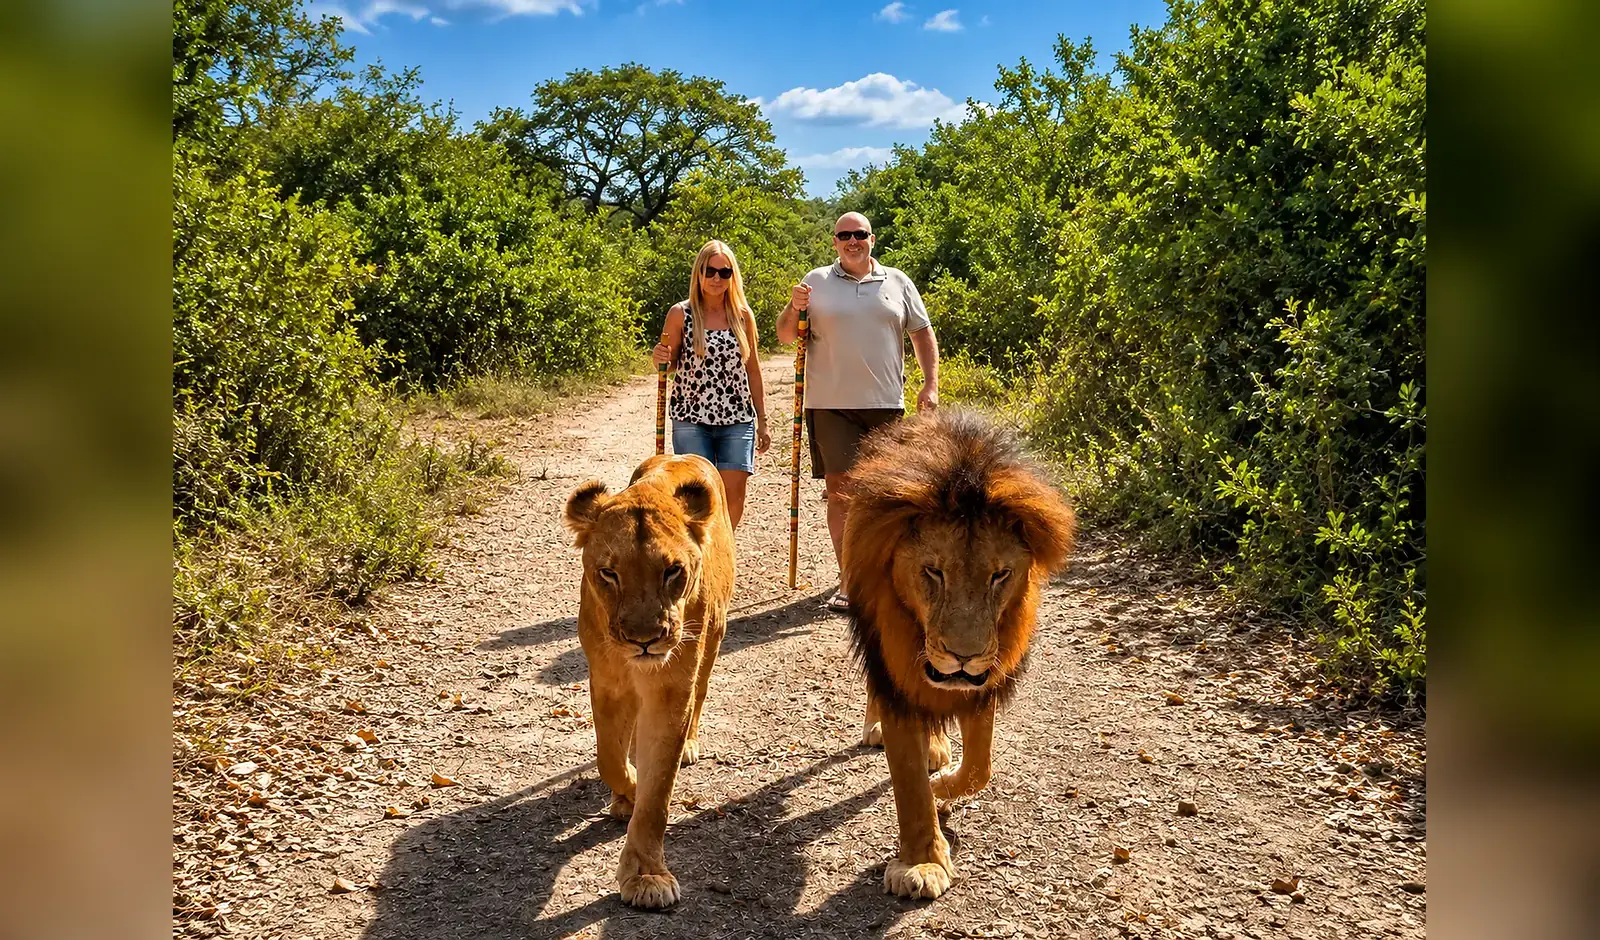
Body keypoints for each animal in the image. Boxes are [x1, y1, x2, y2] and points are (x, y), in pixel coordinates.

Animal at [563, 453, 735, 909]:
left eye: (672, 571)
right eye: (608, 573)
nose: (644, 640)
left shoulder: (670, 687)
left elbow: (658, 791)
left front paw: (646, 875)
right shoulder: (607, 680)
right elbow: (608, 755)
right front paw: (628, 788)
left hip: (713, 638)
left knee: (701, 694)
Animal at [842, 409, 1076, 900]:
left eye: (999, 575)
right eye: (933, 571)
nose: (962, 656)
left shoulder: (983, 682)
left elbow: (979, 768)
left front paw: (943, 788)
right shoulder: (894, 673)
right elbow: (909, 783)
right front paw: (922, 863)